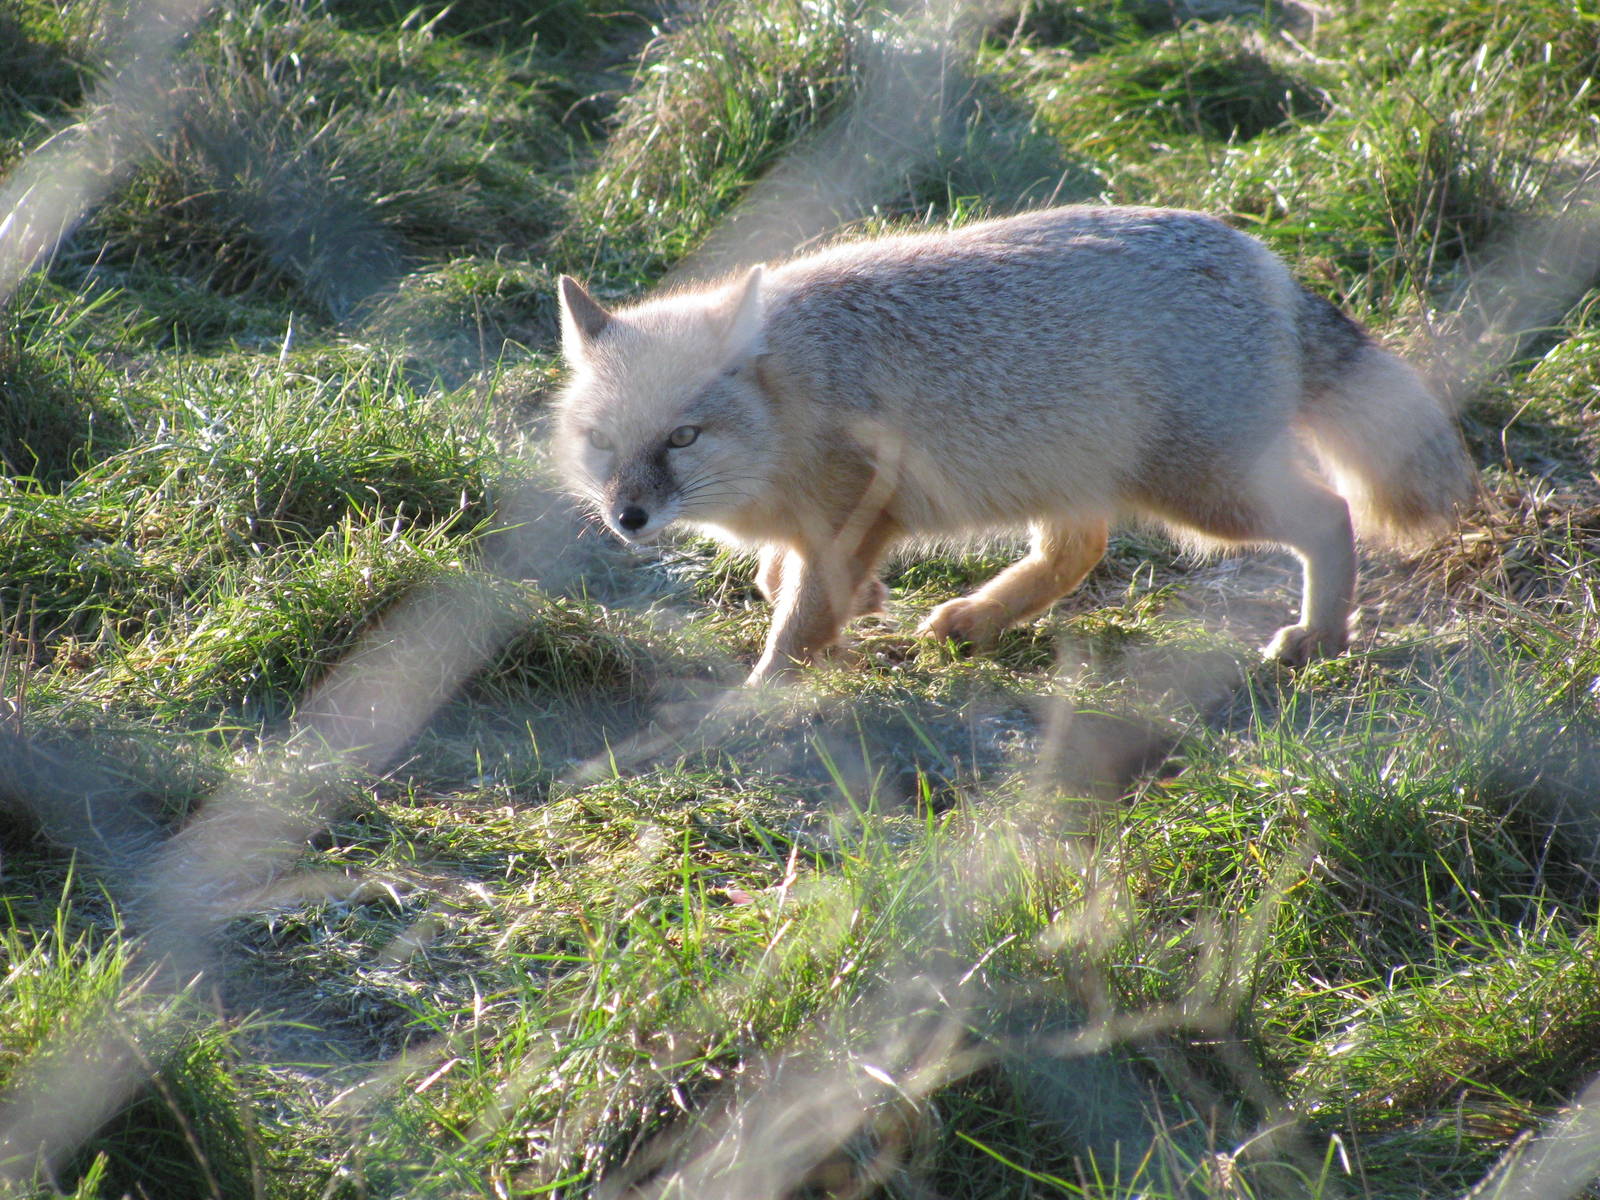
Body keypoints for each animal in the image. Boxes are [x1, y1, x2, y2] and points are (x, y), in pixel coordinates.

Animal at [553, 205, 1475, 685]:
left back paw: (1320, 637)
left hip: (1206, 494)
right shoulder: (822, 529)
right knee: (1080, 549)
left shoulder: (857, 513)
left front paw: (761, 695)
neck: (793, 393)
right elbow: (785, 580)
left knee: (1328, 514)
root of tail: (1260, 256)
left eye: (681, 437)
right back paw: (977, 619)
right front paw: (855, 605)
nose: (628, 518)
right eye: (602, 442)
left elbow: (800, 618)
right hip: (1081, 478)